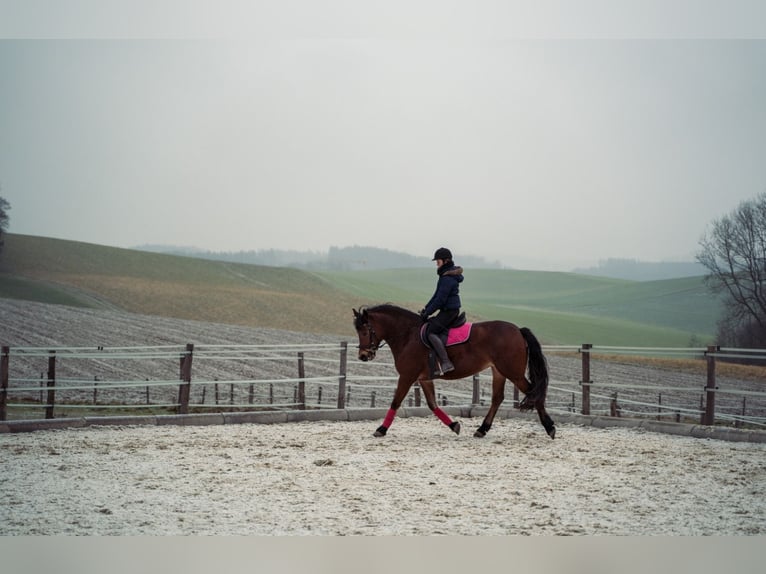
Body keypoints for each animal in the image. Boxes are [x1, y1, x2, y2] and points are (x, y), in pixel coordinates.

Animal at [352, 304, 555, 439]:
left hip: (513, 372)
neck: (408, 335)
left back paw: (550, 427)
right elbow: (432, 404)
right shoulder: (424, 379)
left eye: (364, 331)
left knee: (533, 393)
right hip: (499, 371)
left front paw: (381, 429)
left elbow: (395, 402)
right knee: (497, 398)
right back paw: (482, 429)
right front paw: (454, 425)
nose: (363, 356)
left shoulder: (407, 376)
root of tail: (518, 330)